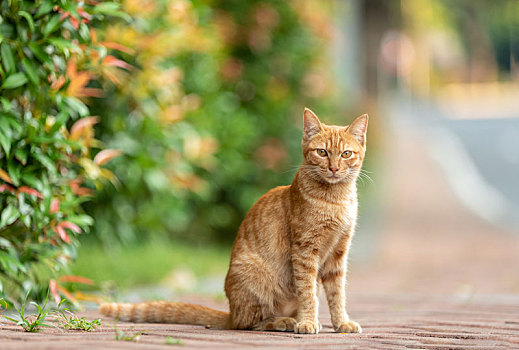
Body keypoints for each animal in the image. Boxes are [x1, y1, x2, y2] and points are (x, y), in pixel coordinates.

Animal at [100, 108, 370, 334]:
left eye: (346, 154)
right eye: (322, 152)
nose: (334, 168)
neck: (336, 199)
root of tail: (230, 312)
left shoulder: (337, 254)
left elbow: (337, 295)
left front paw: (341, 323)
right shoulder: (305, 253)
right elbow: (308, 294)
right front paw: (307, 322)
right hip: (254, 280)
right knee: (250, 322)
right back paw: (284, 321)